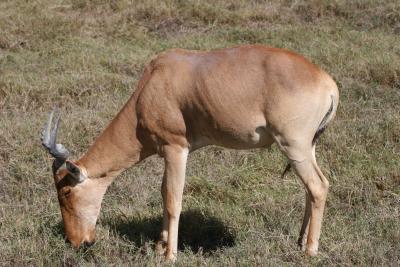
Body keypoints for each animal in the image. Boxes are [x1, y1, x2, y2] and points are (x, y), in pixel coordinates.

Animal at [42, 45, 340, 260]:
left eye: (65, 191)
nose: (77, 241)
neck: (153, 81)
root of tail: (327, 82)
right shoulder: (167, 152)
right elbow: (163, 194)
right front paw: (159, 247)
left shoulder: (177, 148)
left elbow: (174, 200)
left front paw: (170, 256)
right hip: (307, 147)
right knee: (310, 189)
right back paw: (300, 241)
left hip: (293, 145)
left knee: (318, 186)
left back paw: (310, 251)